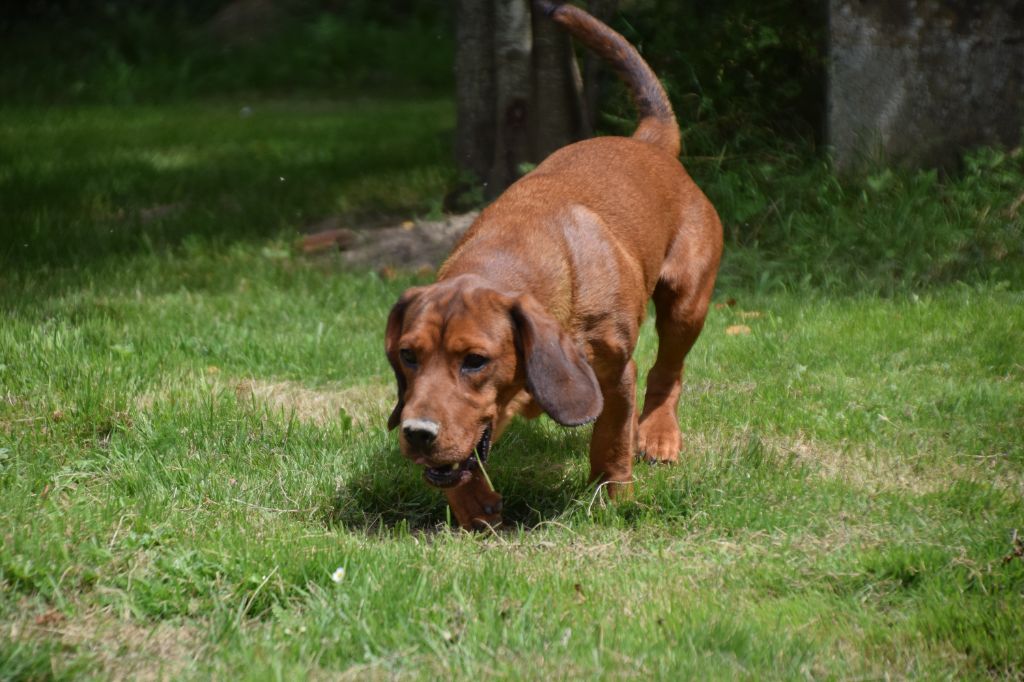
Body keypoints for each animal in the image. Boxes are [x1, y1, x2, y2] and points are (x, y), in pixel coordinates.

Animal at [382, 1, 720, 524]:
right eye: (408, 355)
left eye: (475, 360)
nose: (417, 433)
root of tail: (648, 142)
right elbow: (462, 463)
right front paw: (473, 505)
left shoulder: (615, 373)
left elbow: (610, 441)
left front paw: (612, 497)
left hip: (687, 303)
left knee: (668, 373)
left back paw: (659, 433)